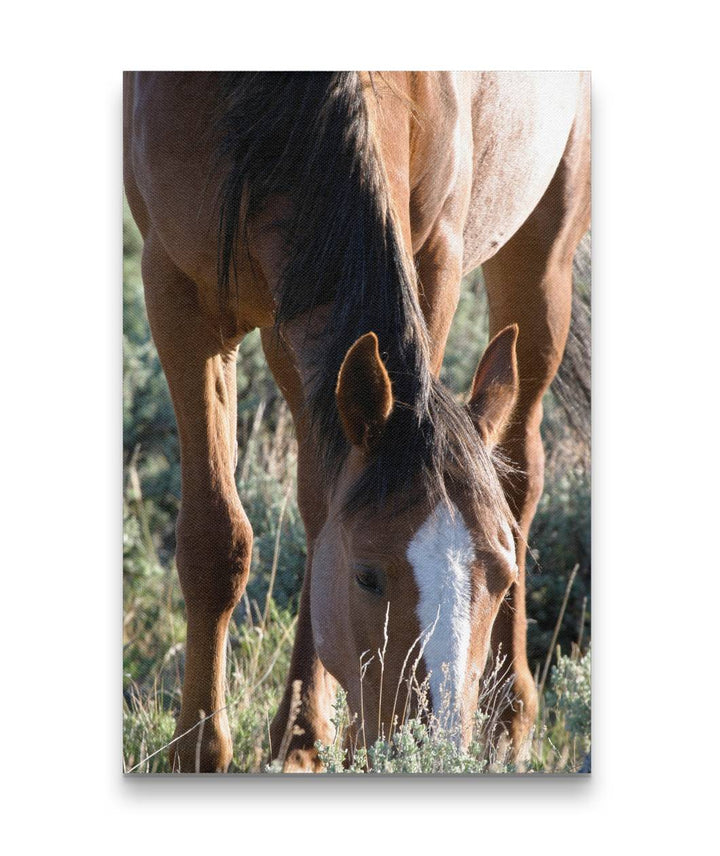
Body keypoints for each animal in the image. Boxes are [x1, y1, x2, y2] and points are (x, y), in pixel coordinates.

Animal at [124, 70, 592, 772]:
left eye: (504, 578)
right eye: (366, 576)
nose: (428, 751)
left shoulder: (434, 262)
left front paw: (300, 737)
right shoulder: (178, 293)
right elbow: (218, 538)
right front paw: (201, 750)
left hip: (544, 256)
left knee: (522, 474)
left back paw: (509, 718)